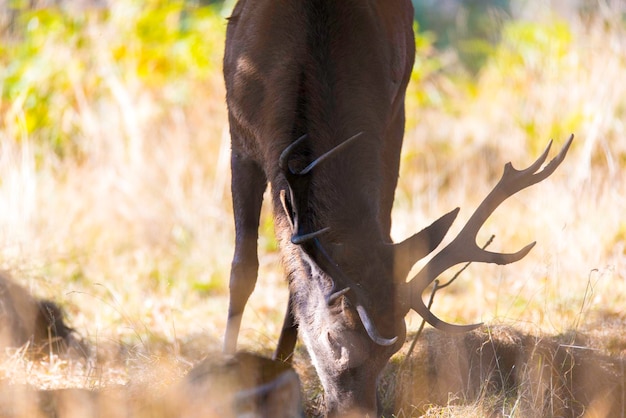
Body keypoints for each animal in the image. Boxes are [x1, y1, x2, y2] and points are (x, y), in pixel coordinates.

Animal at [219, 1, 572, 416]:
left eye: (391, 353)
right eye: (332, 339)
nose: (357, 411)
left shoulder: (391, 119)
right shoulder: (240, 137)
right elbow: (243, 270)